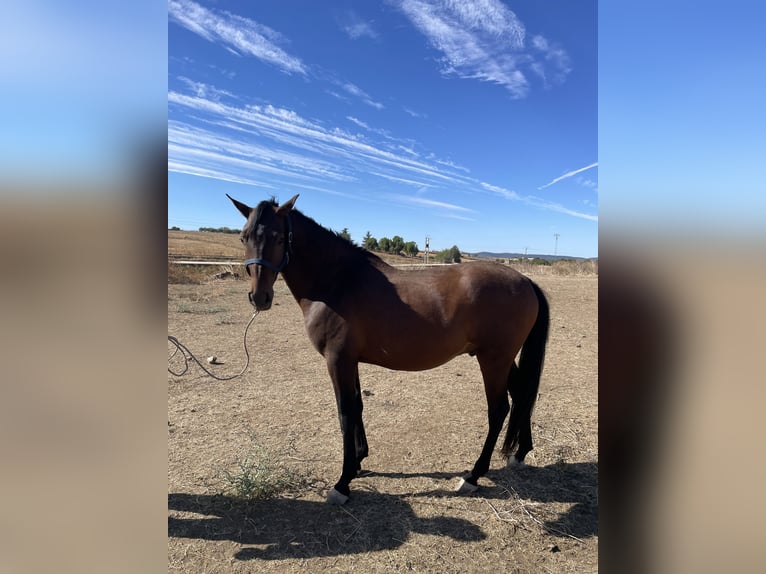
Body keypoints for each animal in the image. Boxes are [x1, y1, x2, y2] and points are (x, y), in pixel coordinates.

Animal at [228, 194, 550, 505]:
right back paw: (520, 453)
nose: (259, 297)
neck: (337, 281)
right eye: (243, 237)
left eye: (278, 237)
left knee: (499, 409)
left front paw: (343, 483)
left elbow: (345, 413)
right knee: (522, 395)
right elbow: (357, 406)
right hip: (502, 358)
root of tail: (525, 281)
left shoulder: (337, 360)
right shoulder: (350, 361)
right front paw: (358, 462)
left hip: (493, 359)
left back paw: (473, 476)